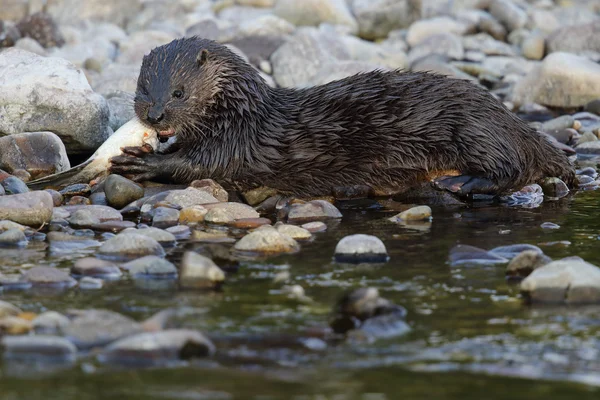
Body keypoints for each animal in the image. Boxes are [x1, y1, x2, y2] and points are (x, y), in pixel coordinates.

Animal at [109, 36, 576, 199]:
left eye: (179, 92)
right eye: (142, 89)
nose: (155, 114)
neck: (242, 113)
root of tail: (516, 122)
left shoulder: (237, 141)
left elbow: (202, 163)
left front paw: (141, 161)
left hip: (475, 127)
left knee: (514, 166)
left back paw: (464, 181)